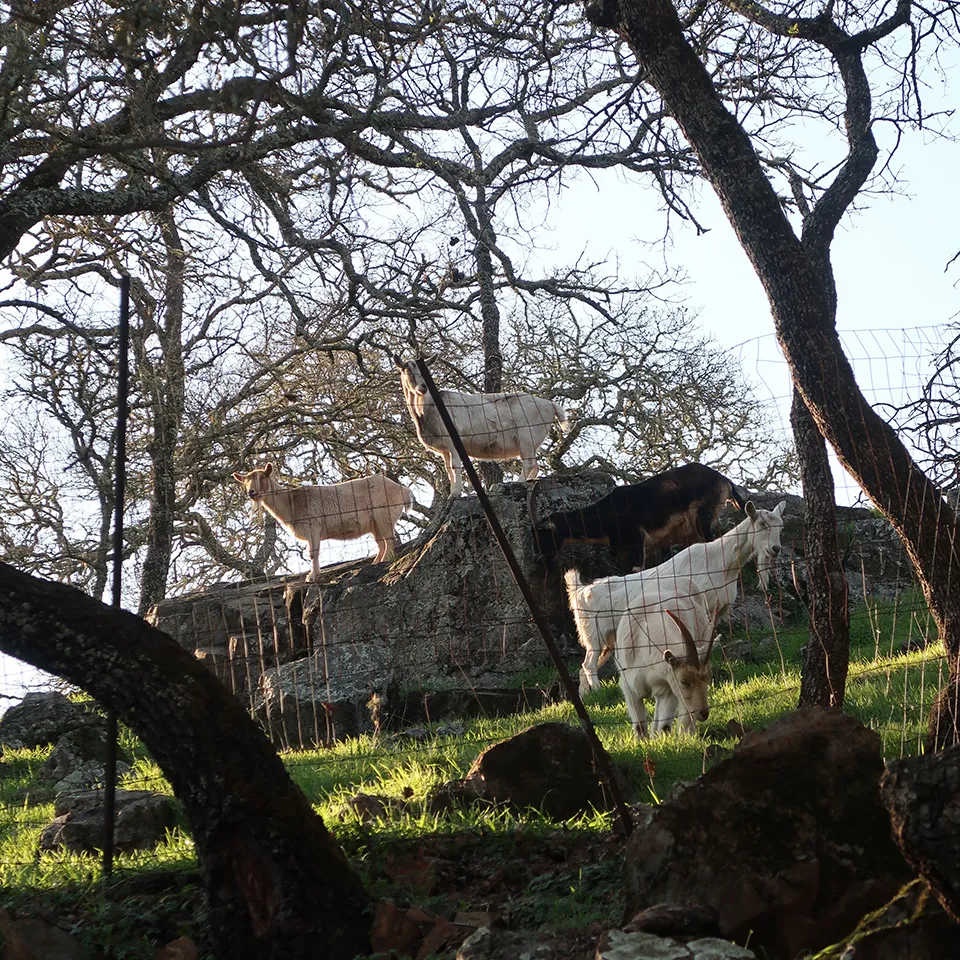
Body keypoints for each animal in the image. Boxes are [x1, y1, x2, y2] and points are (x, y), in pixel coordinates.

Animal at [232, 463, 413, 579]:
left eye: (262, 478)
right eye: (245, 481)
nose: (251, 492)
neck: (291, 502)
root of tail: (403, 490)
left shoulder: (313, 528)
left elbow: (313, 554)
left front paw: (312, 576)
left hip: (384, 514)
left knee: (389, 540)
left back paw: (386, 560)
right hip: (374, 523)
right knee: (381, 543)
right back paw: (376, 562)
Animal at [393, 356, 569, 497]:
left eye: (426, 372)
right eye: (407, 371)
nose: (423, 387)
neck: (430, 409)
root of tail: (550, 405)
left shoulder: (453, 440)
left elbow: (455, 466)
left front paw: (455, 494)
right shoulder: (443, 449)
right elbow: (448, 470)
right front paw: (451, 493)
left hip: (527, 437)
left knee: (529, 463)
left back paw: (516, 483)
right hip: (531, 443)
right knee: (535, 465)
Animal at [535, 463, 746, 572]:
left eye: (544, 536)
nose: (541, 561)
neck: (604, 515)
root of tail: (724, 481)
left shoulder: (637, 540)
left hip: (703, 515)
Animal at [566, 499, 786, 696]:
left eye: (781, 527)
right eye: (762, 524)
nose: (775, 549)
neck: (723, 562)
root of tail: (579, 591)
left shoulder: (716, 610)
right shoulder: (700, 607)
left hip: (608, 638)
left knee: (583, 666)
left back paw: (587, 696)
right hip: (594, 632)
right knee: (589, 664)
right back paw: (597, 689)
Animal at [617, 603, 718, 738]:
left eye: (709, 678)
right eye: (684, 681)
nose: (704, 713)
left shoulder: (668, 689)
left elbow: (664, 726)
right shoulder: (630, 690)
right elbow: (640, 727)